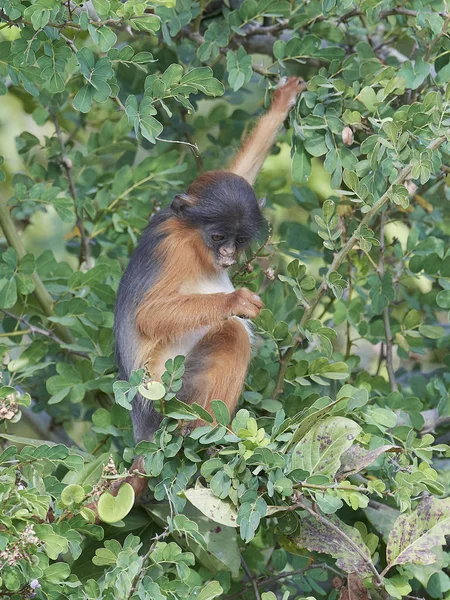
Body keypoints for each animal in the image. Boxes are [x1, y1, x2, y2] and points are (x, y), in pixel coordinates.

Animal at [113, 75, 306, 448]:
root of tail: (143, 428)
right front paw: (235, 301)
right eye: (218, 238)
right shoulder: (173, 249)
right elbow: (147, 315)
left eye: (239, 240)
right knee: (232, 331)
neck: (193, 240)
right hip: (171, 396)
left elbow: (240, 171)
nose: (228, 255)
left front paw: (283, 101)